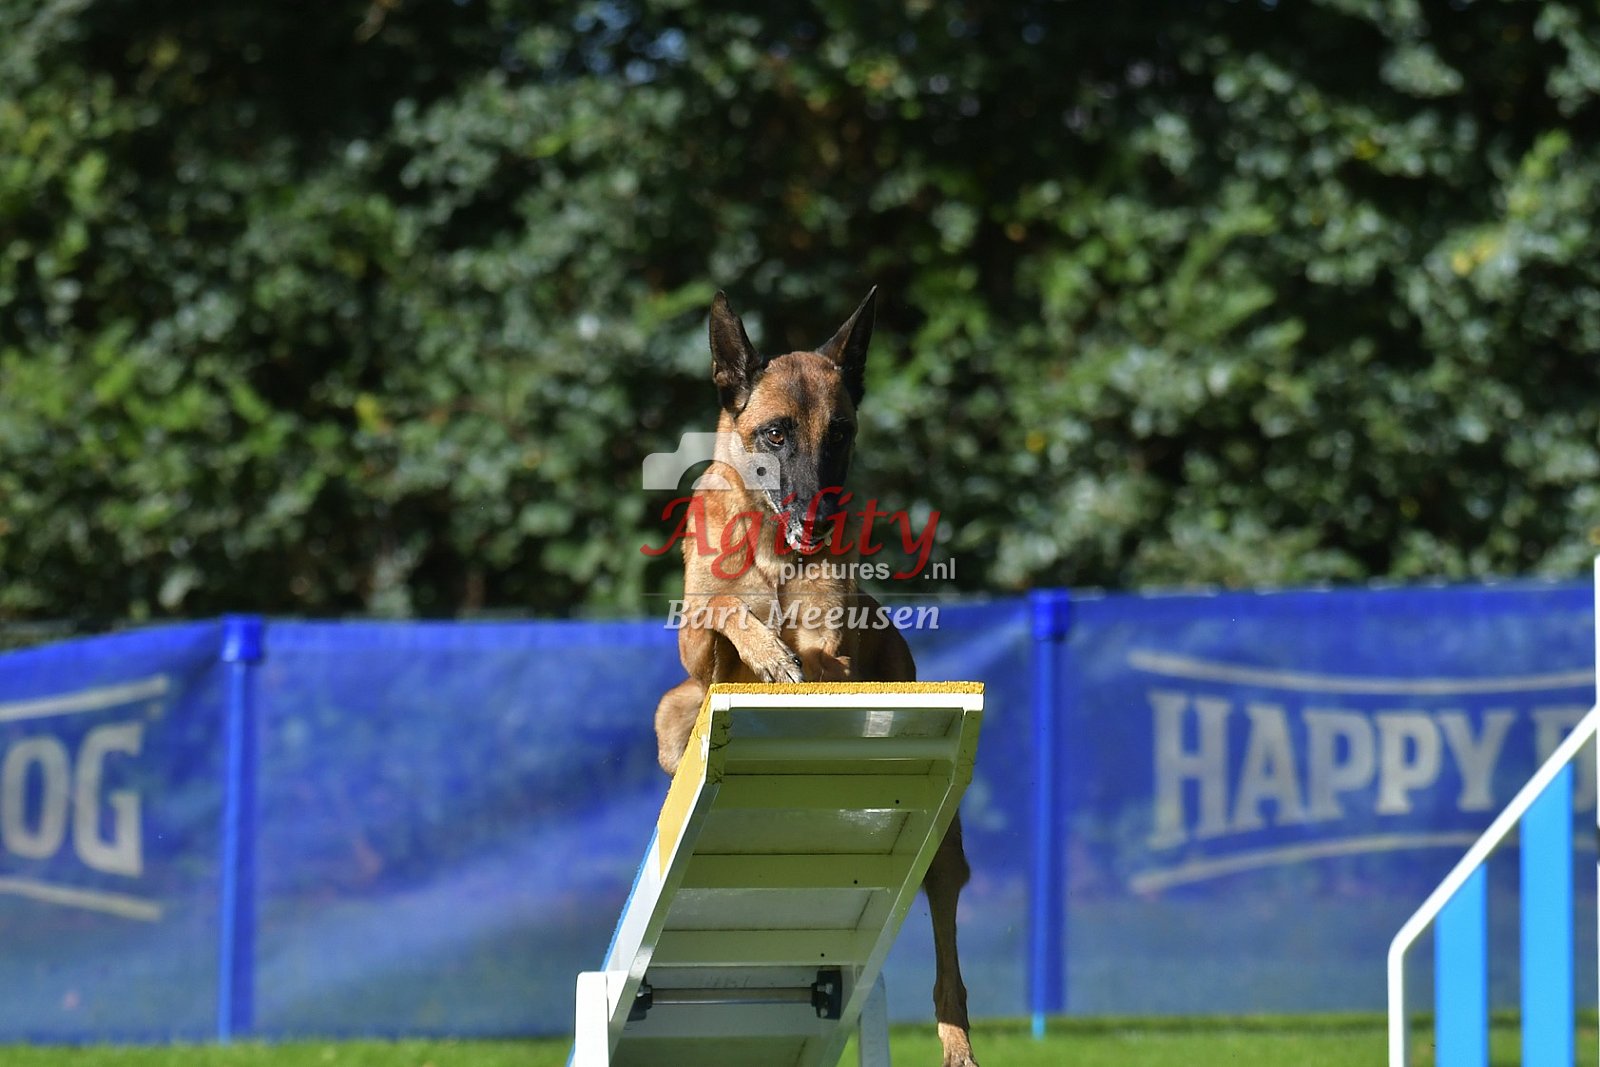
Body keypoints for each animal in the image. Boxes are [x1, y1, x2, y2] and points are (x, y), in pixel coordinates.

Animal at [652, 288, 981, 1067]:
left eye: (840, 434)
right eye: (774, 434)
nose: (819, 512)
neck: (773, 546)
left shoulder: (836, 647)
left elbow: (822, 652)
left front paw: (789, 654)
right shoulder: (695, 647)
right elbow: (720, 611)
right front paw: (767, 651)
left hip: (945, 852)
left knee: (947, 940)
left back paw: (957, 1039)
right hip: (673, 712)